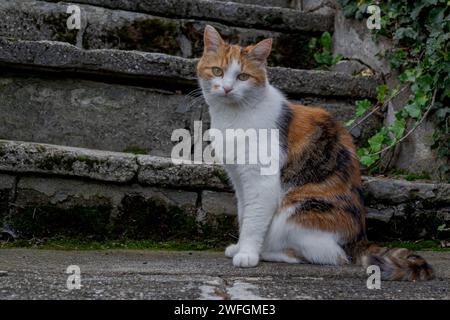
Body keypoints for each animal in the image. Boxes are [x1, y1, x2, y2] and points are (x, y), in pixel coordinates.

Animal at [196, 25, 432, 280]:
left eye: (242, 77)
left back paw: (268, 252)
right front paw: (239, 247)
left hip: (294, 212)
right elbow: (243, 214)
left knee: (328, 256)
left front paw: (247, 254)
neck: (233, 117)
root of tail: (360, 241)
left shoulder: (261, 181)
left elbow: (253, 219)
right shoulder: (239, 178)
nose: (227, 88)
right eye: (217, 71)